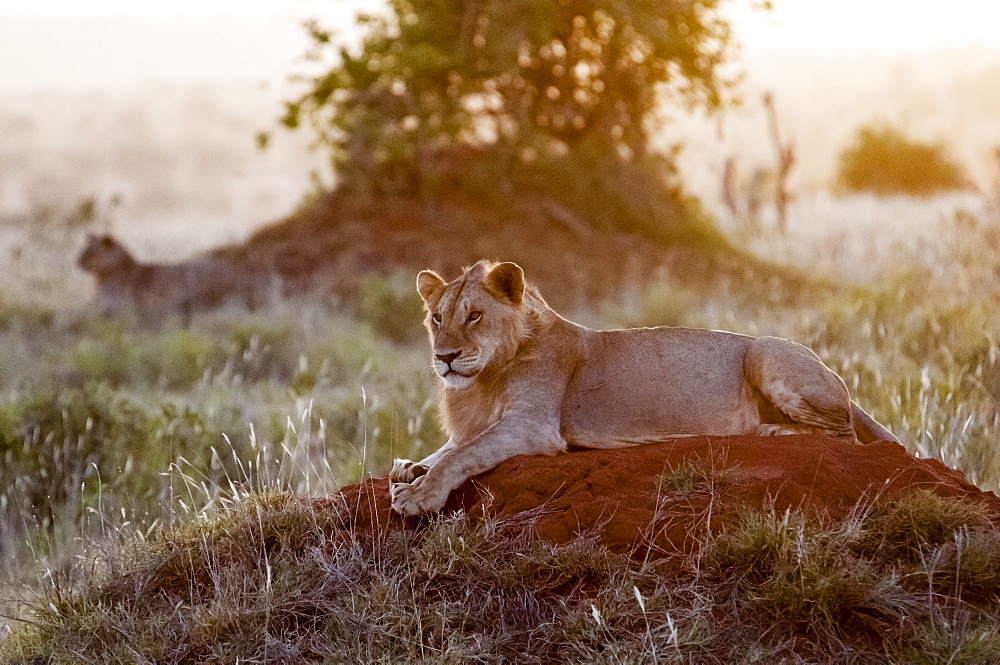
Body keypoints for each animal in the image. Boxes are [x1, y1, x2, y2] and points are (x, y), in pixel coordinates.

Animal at [388, 258, 900, 512]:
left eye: (474, 315)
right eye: (437, 318)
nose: (444, 358)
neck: (484, 378)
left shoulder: (533, 427)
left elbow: (461, 455)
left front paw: (418, 495)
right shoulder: (479, 423)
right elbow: (447, 448)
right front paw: (408, 468)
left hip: (765, 351)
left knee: (845, 437)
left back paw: (771, 430)